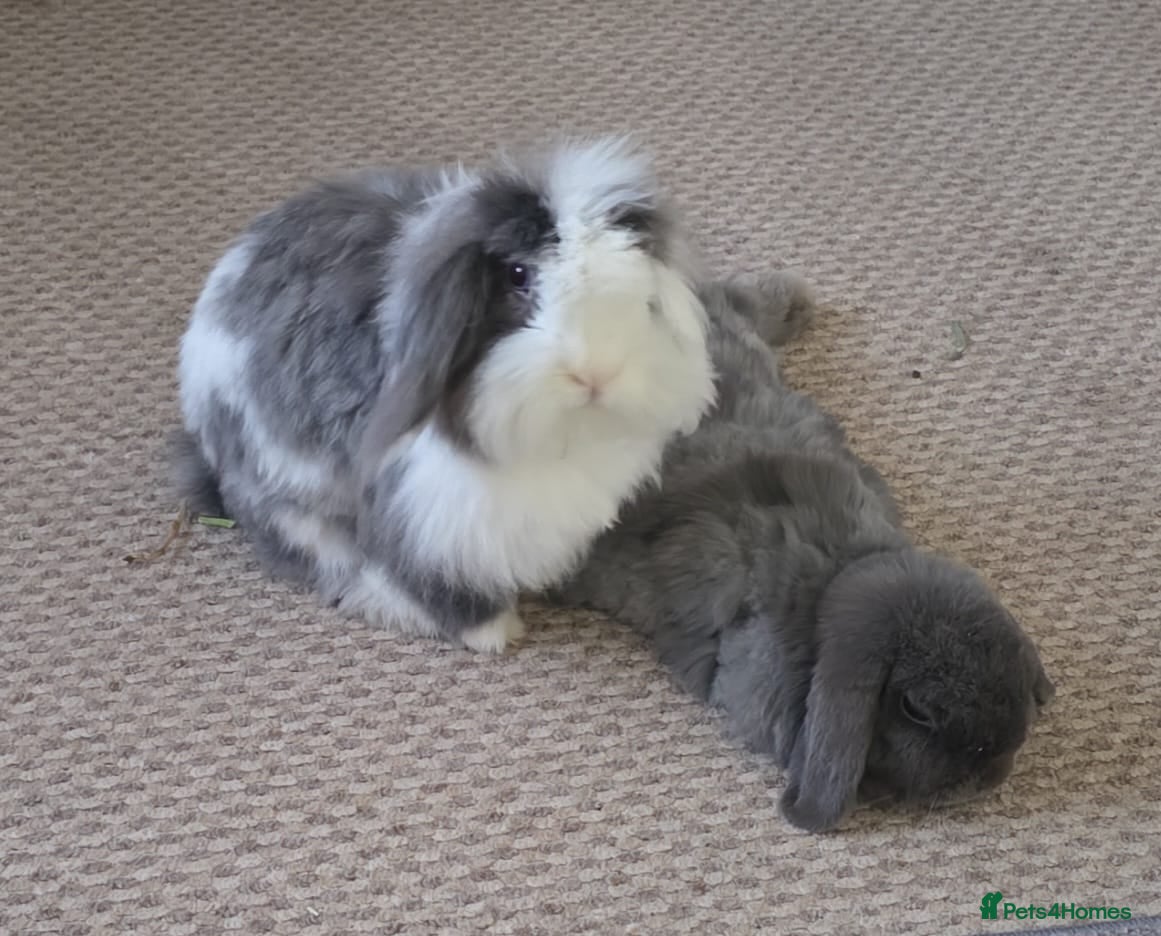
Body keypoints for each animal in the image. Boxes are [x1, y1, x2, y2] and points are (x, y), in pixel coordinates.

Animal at [173, 136, 717, 654]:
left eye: (638, 281)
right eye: (518, 275)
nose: (597, 374)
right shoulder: (425, 511)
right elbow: (430, 576)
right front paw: (492, 633)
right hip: (286, 486)